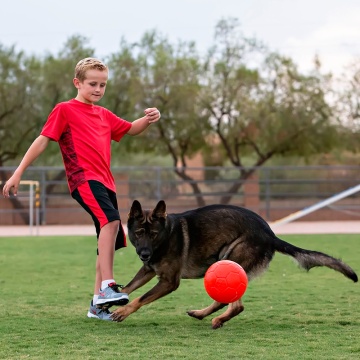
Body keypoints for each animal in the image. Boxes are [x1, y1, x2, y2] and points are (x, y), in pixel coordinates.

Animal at [111, 200, 358, 330]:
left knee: (236, 305)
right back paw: (202, 314)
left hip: (229, 260)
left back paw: (218, 319)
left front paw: (122, 311)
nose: (144, 253)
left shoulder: (169, 282)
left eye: (153, 234)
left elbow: (140, 299)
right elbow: (128, 288)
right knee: (225, 301)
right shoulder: (148, 270)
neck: (166, 236)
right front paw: (109, 301)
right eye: (138, 233)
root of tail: (270, 234)